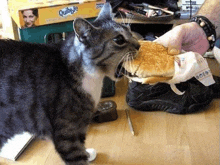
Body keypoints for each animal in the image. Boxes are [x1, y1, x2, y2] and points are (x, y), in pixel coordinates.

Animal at [0, 2, 139, 165]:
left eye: (130, 31)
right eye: (119, 40)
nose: (139, 45)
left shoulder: (81, 126)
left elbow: (82, 143)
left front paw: (88, 153)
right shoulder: (67, 132)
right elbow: (76, 155)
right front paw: (85, 157)